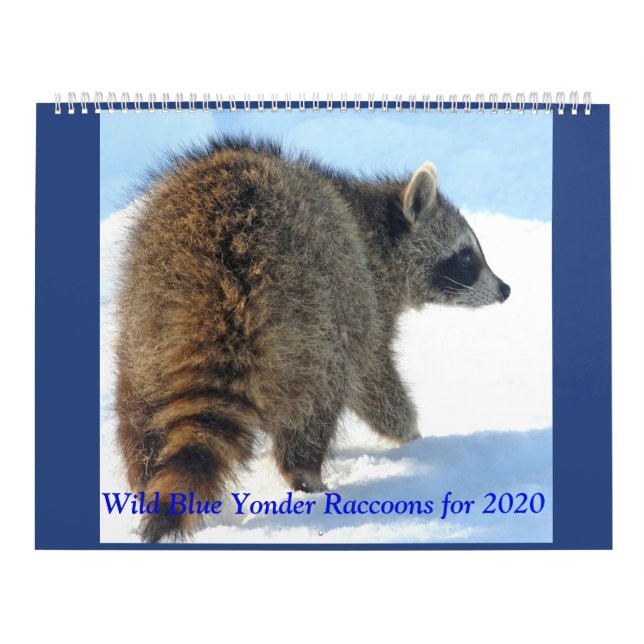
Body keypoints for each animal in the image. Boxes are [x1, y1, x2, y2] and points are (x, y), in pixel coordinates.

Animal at [114, 137, 510, 542]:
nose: (505, 289)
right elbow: (373, 380)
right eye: (466, 258)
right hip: (309, 310)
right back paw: (307, 478)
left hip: (147, 311)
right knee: (318, 397)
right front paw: (411, 434)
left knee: (137, 404)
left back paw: (142, 475)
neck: (372, 221)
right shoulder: (363, 294)